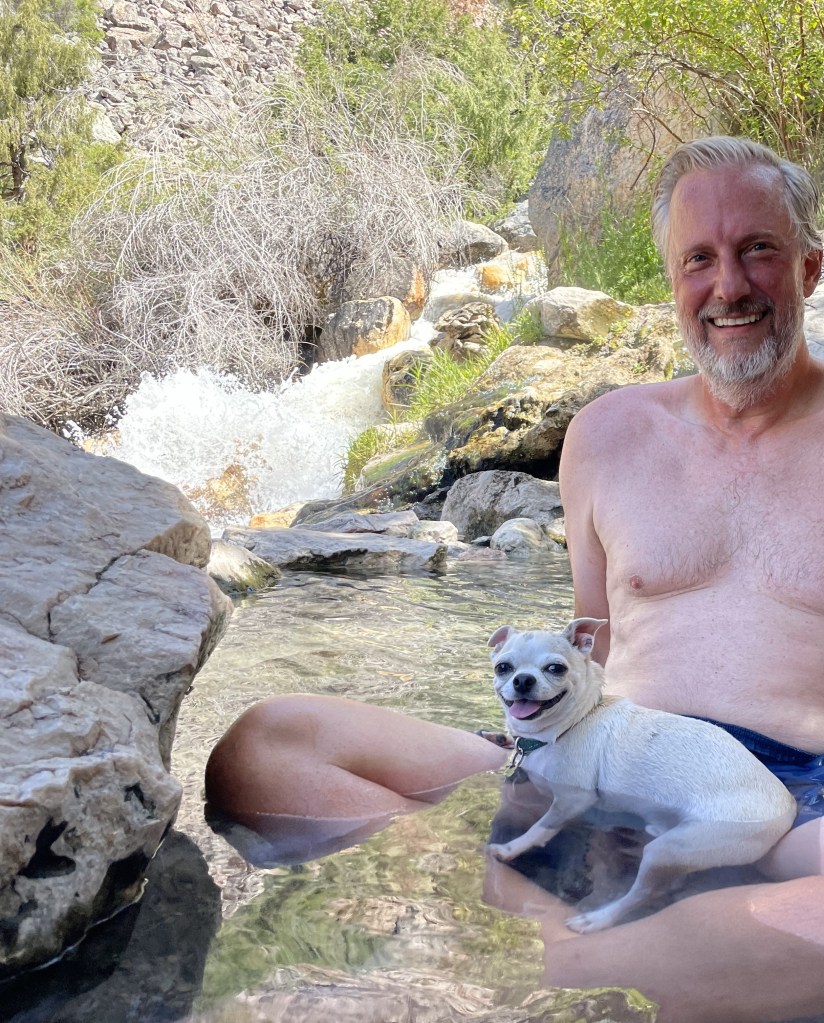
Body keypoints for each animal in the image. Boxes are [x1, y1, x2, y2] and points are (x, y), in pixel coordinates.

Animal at [487, 618, 797, 933]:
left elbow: (540, 828)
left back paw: (596, 919)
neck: (572, 723)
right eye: (503, 667)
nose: (523, 680)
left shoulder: (573, 799)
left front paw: (510, 849)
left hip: (669, 850)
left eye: (555, 668)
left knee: (642, 893)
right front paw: (502, 739)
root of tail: (789, 808)